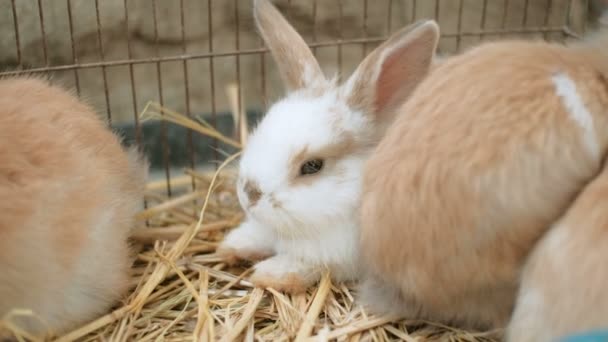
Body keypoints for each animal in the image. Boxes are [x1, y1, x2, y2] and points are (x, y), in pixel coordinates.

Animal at [216, 0, 440, 294]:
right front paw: (233, 244)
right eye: (259, 130)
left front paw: (271, 273)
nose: (249, 193)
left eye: (312, 166)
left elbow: (307, 264)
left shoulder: (336, 255)